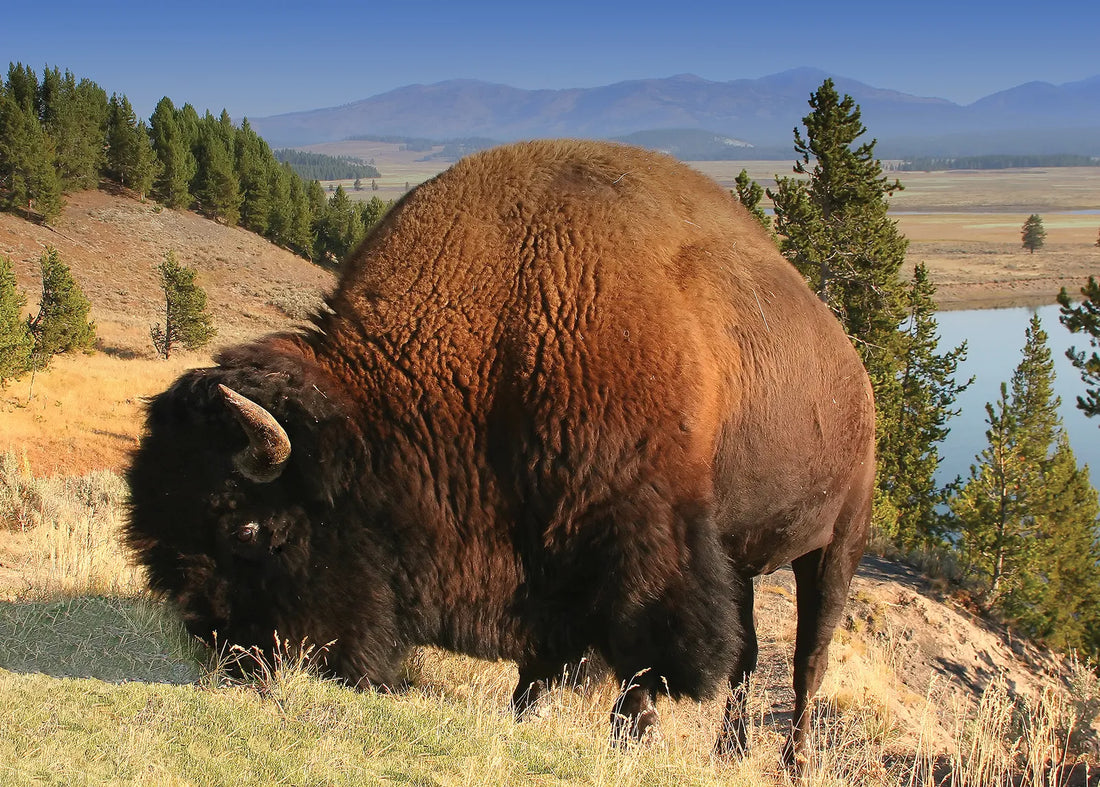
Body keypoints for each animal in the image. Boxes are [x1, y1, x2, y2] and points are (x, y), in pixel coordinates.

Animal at [126, 139, 875, 761]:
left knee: (808, 660)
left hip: (838, 542)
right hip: (745, 557)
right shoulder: (546, 543)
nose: (228, 652)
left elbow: (643, 648)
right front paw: (526, 712)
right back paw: (731, 751)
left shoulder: (644, 536)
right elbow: (547, 650)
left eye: (248, 528)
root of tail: (857, 376)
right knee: (749, 658)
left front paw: (627, 736)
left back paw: (791, 759)